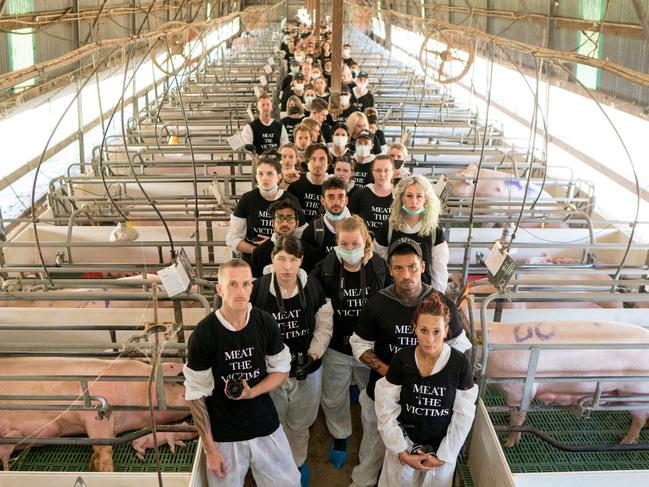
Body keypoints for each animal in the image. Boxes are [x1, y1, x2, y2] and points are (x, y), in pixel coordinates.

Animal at [480, 322, 648, 448]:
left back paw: (624, 441)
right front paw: (507, 416)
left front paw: (507, 443)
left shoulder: (519, 389)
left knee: (639, 418)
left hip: (634, 393)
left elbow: (518, 417)